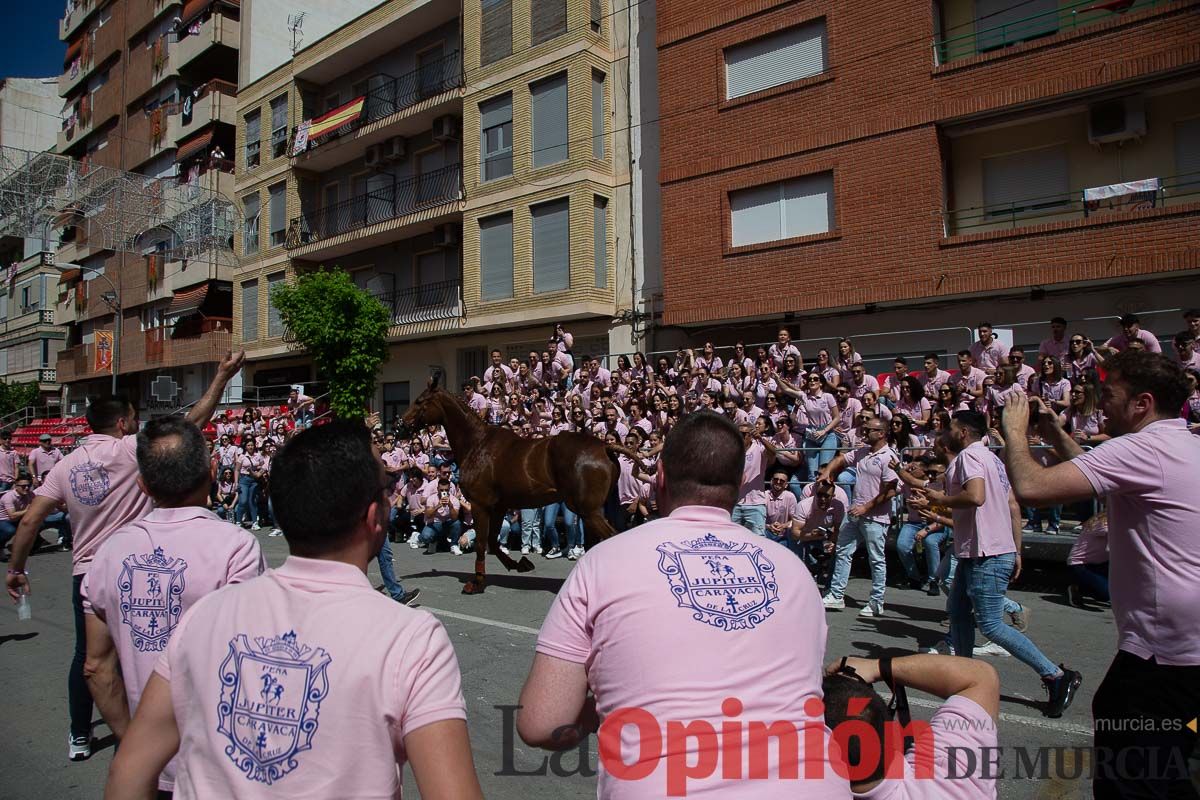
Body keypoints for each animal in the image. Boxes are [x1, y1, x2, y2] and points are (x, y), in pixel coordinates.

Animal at [403, 376, 633, 594]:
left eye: (420, 401)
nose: (402, 424)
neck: (477, 445)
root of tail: (604, 447)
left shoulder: (480, 505)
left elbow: (481, 542)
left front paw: (476, 583)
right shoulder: (498, 506)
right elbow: (493, 542)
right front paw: (520, 564)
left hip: (588, 511)